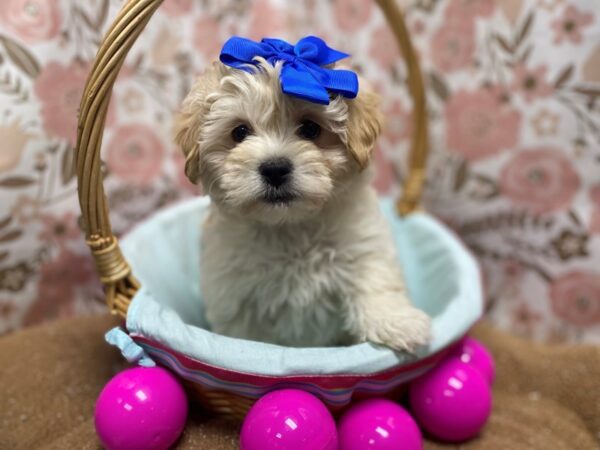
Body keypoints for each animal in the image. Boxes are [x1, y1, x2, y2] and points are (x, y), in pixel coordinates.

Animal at [173, 57, 432, 352]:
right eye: (239, 132)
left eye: (310, 129)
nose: (274, 169)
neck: (291, 226)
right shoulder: (235, 294)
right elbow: (246, 335)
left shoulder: (363, 248)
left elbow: (374, 281)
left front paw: (397, 322)